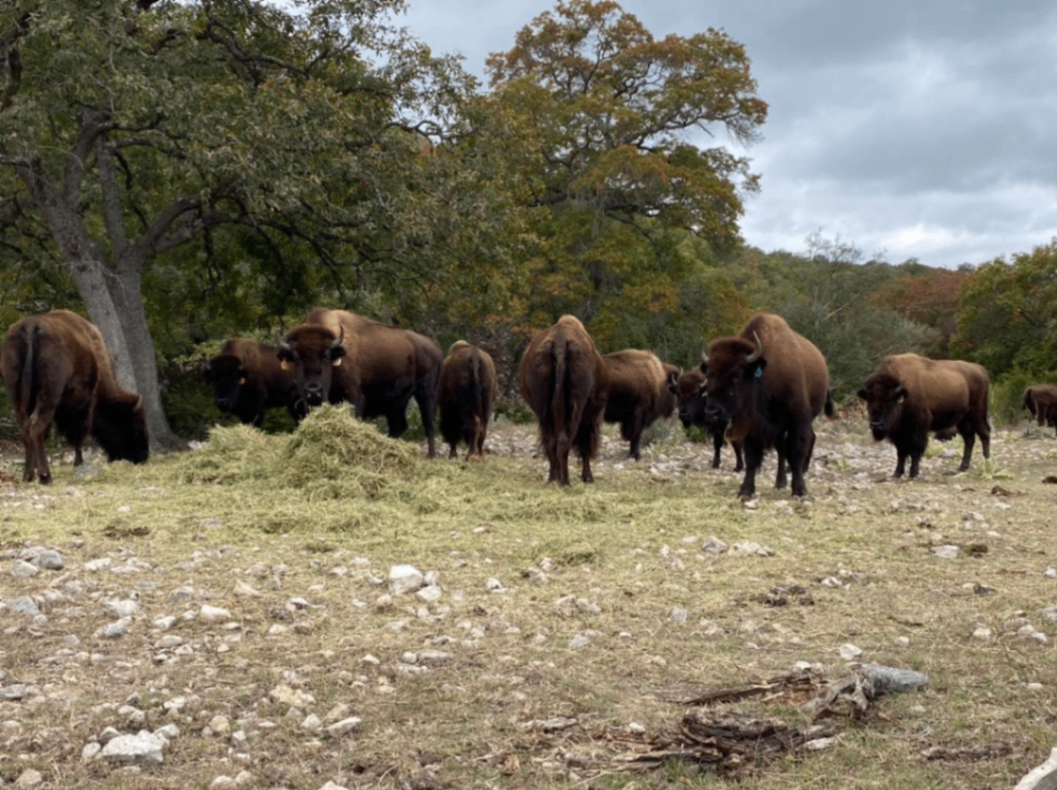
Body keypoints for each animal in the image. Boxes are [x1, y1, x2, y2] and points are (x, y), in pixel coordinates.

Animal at [0, 310, 149, 483]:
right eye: (137, 426)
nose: (142, 457)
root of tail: (30, 326)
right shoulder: (84, 401)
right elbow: (78, 432)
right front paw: (79, 462)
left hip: (17, 396)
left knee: (26, 429)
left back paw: (28, 475)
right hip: (48, 395)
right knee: (37, 426)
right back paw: (45, 476)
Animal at [279, 308, 442, 457]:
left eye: (326, 356)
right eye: (296, 357)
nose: (313, 391)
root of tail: (433, 344)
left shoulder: (355, 398)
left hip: (427, 393)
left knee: (429, 424)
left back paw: (431, 456)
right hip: (397, 402)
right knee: (398, 426)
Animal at [518, 315, 610, 485]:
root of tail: (560, 344)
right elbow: (586, 446)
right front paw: (587, 476)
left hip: (542, 410)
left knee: (552, 441)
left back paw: (553, 478)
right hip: (577, 408)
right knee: (565, 440)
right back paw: (565, 481)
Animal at [701, 313, 832, 499]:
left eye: (737, 375)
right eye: (709, 374)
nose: (712, 412)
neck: (763, 376)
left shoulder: (797, 421)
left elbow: (795, 452)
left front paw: (800, 490)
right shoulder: (752, 426)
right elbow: (752, 457)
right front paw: (746, 490)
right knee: (780, 450)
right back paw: (780, 482)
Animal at [858, 353, 991, 478]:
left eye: (889, 399)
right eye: (869, 399)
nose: (876, 424)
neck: (903, 396)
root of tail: (980, 369)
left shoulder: (919, 425)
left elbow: (915, 449)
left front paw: (913, 473)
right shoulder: (899, 432)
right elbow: (901, 452)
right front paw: (897, 473)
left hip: (977, 414)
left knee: (984, 434)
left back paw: (987, 463)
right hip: (963, 420)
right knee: (969, 439)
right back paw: (962, 467)